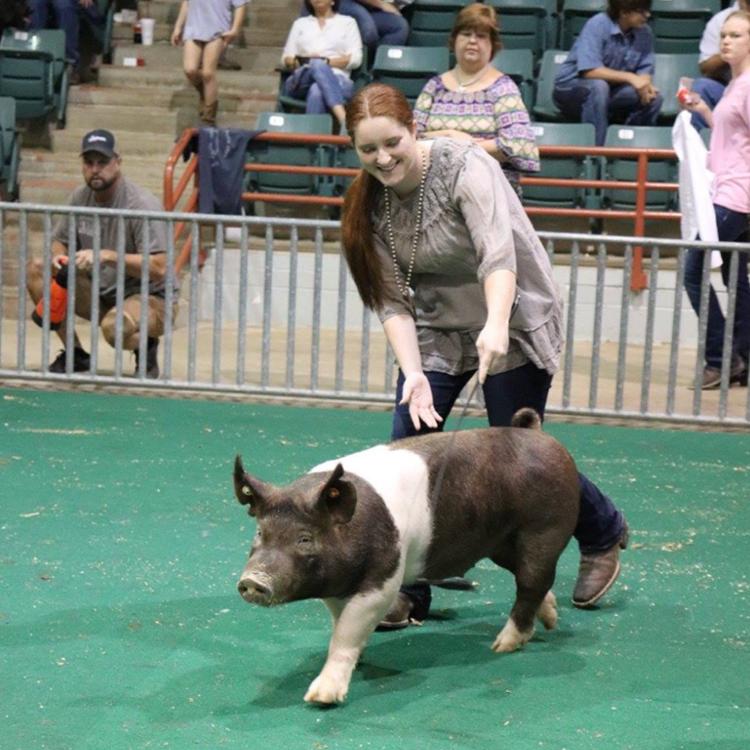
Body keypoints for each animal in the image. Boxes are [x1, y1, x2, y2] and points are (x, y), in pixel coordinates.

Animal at [235, 414, 580, 708]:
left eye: (304, 538)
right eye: (260, 532)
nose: (252, 581)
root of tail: (540, 435)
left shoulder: (383, 579)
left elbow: (347, 630)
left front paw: (320, 698)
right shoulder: (338, 585)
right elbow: (340, 623)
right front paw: (359, 659)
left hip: (544, 528)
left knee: (532, 581)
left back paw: (503, 645)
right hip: (502, 543)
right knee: (533, 581)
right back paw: (549, 620)